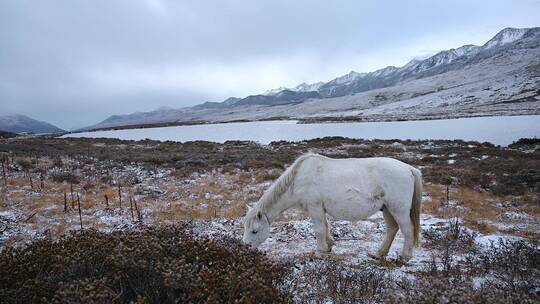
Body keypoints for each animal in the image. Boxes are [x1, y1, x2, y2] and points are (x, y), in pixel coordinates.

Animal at [243, 153, 424, 262]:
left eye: (254, 231)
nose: (245, 249)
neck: (298, 179)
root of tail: (409, 168)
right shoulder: (319, 209)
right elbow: (325, 226)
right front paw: (329, 245)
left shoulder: (315, 207)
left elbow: (319, 230)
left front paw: (320, 251)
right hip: (387, 209)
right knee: (392, 229)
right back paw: (379, 254)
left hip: (398, 209)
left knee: (407, 230)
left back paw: (404, 257)